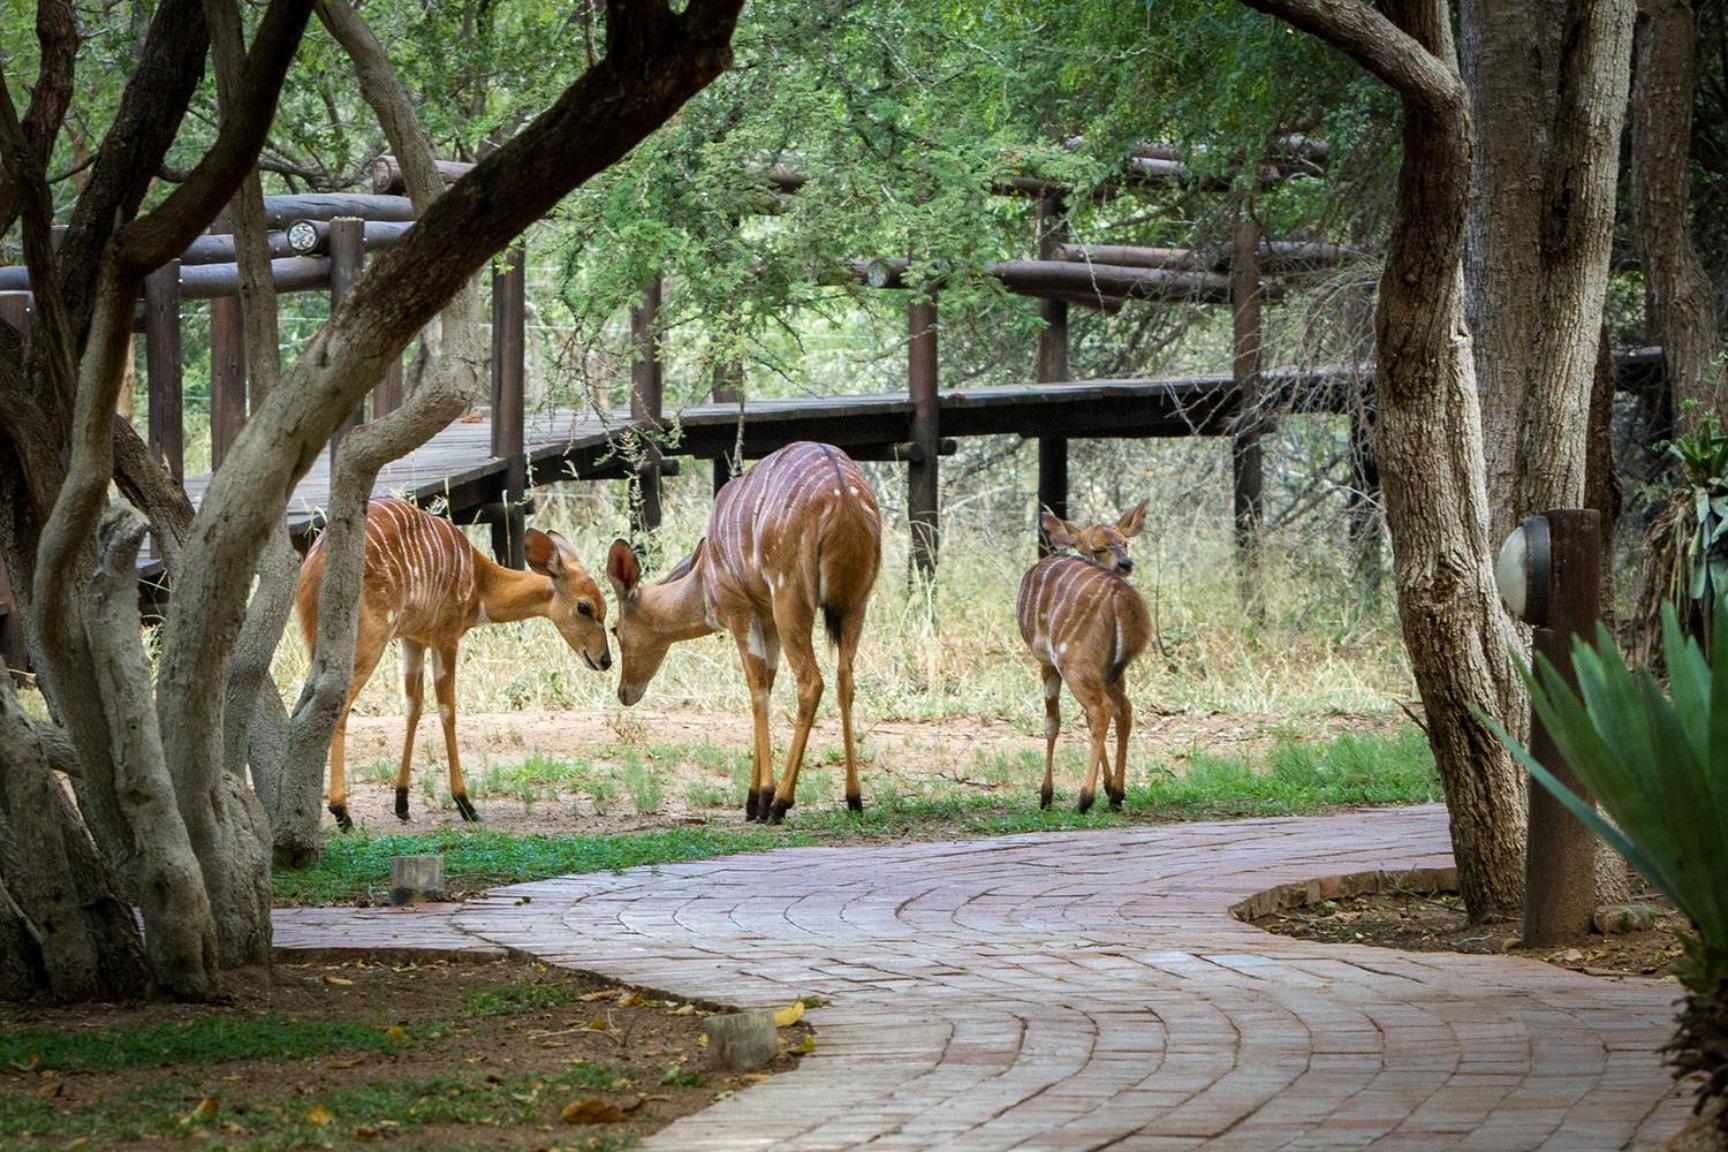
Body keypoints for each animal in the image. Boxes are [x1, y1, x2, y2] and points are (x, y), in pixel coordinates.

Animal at [297, 497, 615, 829]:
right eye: (584, 607)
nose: (605, 660)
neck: (480, 582)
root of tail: (313, 571)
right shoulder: (446, 635)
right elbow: (447, 710)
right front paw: (466, 804)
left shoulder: (414, 639)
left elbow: (414, 707)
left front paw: (402, 803)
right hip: (370, 639)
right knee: (339, 705)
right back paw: (341, 811)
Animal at [608, 436, 884, 825]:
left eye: (615, 628)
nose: (625, 693)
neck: (704, 578)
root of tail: (844, 498)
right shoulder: (766, 619)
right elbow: (767, 681)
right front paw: (753, 799)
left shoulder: (742, 611)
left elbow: (756, 690)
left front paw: (761, 798)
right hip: (854, 604)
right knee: (846, 679)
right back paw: (854, 798)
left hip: (791, 599)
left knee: (811, 681)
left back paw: (782, 802)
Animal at [1016, 500, 1154, 811]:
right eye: (1097, 547)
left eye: (1125, 543)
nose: (1126, 563)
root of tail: (1120, 595)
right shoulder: (1109, 668)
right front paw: (1109, 785)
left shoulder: (1046, 661)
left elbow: (1052, 722)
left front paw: (1046, 795)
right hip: (1111, 670)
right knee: (1123, 709)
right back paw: (1116, 794)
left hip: (1073, 662)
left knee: (1100, 709)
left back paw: (1084, 798)